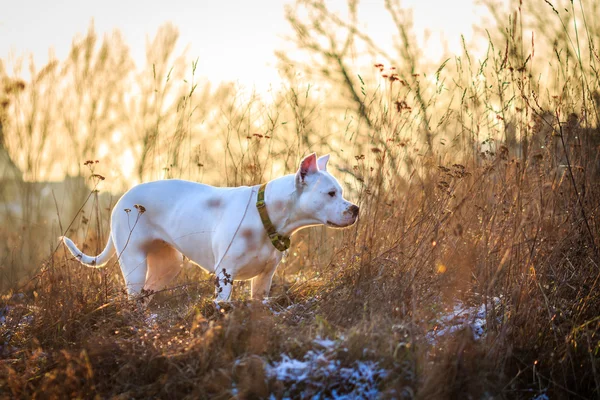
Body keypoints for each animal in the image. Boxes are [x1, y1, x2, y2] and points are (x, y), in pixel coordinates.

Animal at [62, 154, 356, 304]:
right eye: (331, 193)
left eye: (341, 192)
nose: (355, 208)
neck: (266, 215)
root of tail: (123, 198)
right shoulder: (225, 276)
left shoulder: (264, 279)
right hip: (134, 262)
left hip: (168, 265)